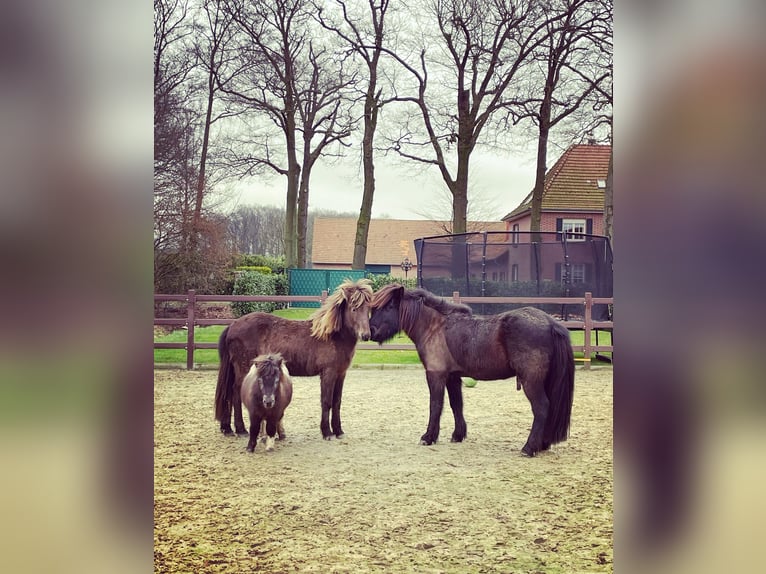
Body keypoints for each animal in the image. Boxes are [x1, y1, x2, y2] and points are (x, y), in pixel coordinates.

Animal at [215, 278, 373, 440]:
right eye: (354, 309)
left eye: (368, 309)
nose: (366, 335)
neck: (332, 336)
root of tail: (233, 325)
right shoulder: (328, 373)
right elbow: (326, 401)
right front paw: (327, 432)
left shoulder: (340, 374)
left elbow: (337, 402)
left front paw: (338, 431)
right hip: (243, 368)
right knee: (236, 393)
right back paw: (241, 429)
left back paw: (228, 428)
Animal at [369, 284, 574, 457]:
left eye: (388, 307)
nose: (370, 331)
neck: (435, 327)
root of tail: (551, 323)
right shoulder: (452, 377)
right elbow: (456, 405)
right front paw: (458, 435)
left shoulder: (436, 375)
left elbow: (435, 406)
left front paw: (428, 437)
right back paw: (542, 444)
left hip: (531, 382)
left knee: (541, 408)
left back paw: (529, 448)